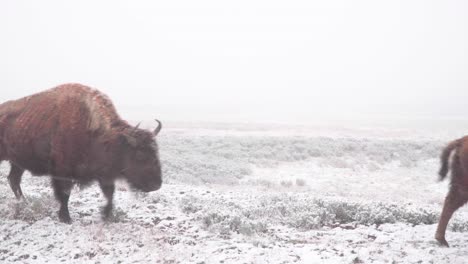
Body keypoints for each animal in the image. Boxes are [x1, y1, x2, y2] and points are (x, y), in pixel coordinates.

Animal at [0, 84, 163, 223]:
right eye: (140, 155)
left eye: (156, 152)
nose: (156, 184)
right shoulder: (63, 173)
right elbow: (65, 194)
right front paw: (65, 218)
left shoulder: (104, 174)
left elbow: (110, 194)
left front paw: (106, 215)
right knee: (14, 180)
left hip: (17, 162)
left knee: (14, 180)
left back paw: (24, 203)